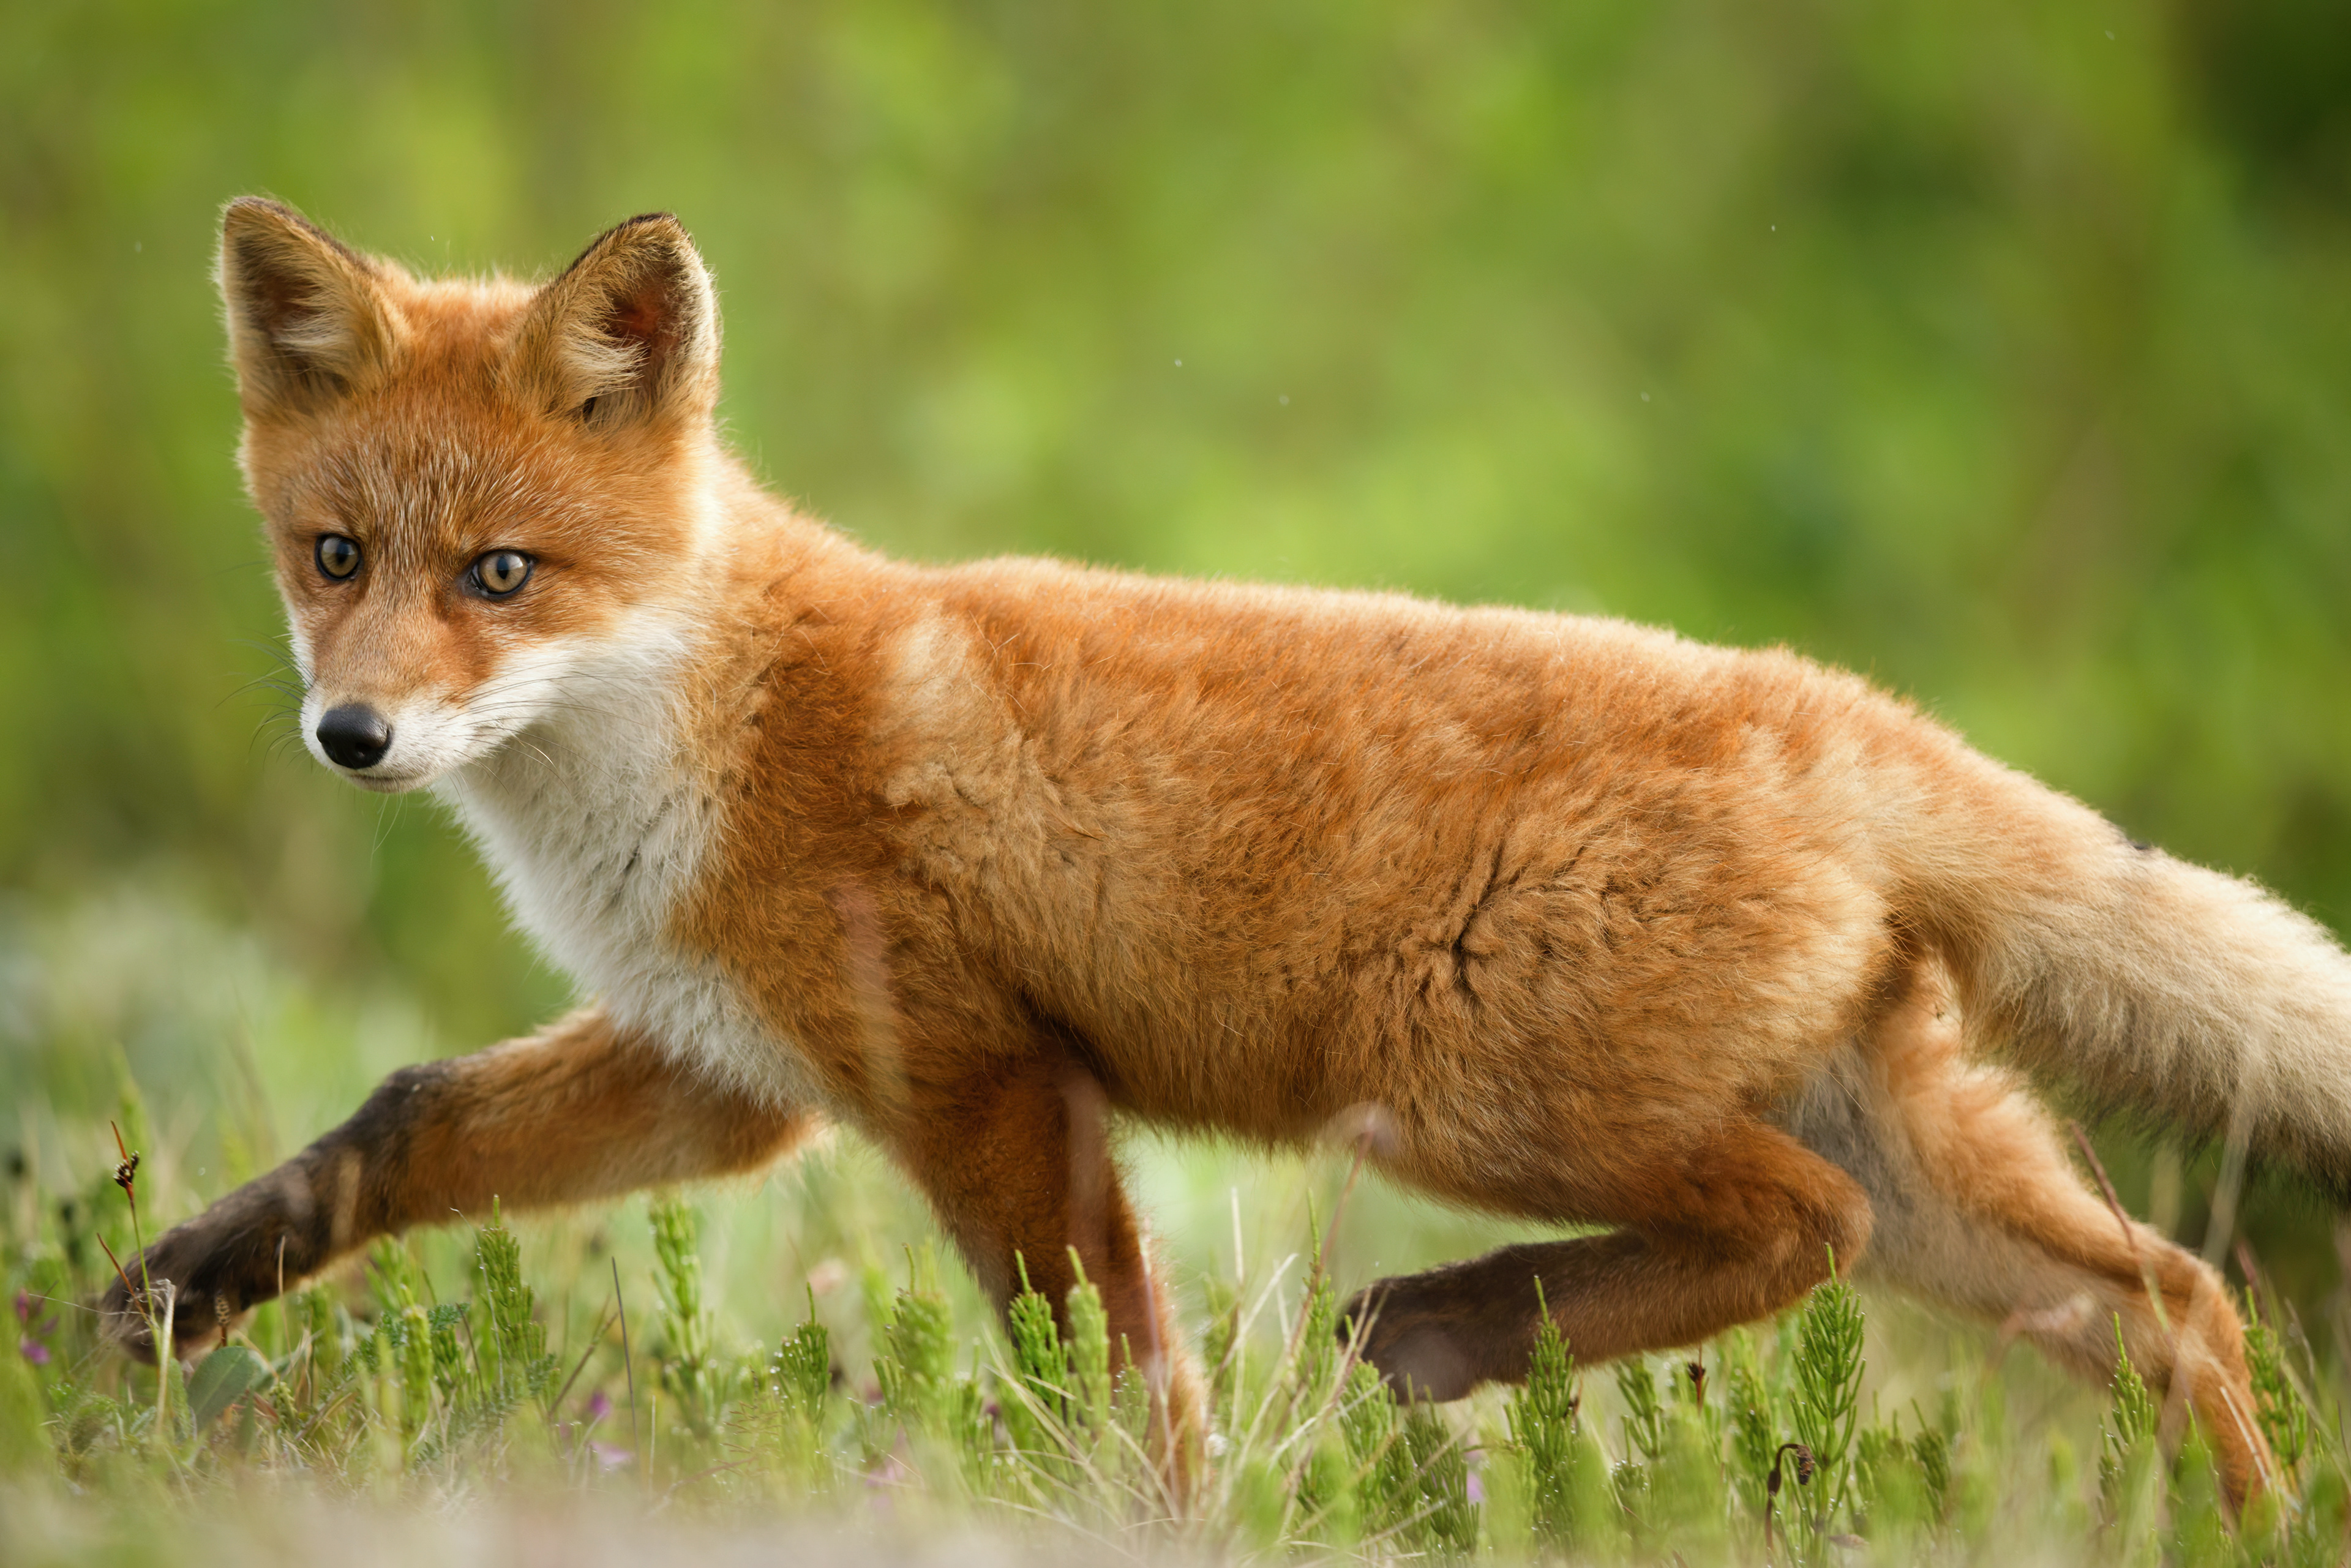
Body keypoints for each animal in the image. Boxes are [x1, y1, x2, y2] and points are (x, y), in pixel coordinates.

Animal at [102, 196, 2351, 1506]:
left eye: (500, 574)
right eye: (335, 557)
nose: (355, 737)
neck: (695, 738)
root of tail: (1837, 714)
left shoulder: (978, 1076)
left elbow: (1112, 1381)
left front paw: (1148, 1525)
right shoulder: (731, 1068)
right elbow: (391, 1127)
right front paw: (138, 1316)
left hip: (1476, 1096)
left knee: (1814, 1230)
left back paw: (1448, 1329)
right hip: (1896, 1144)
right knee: (2164, 1304)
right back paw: (2248, 1531)